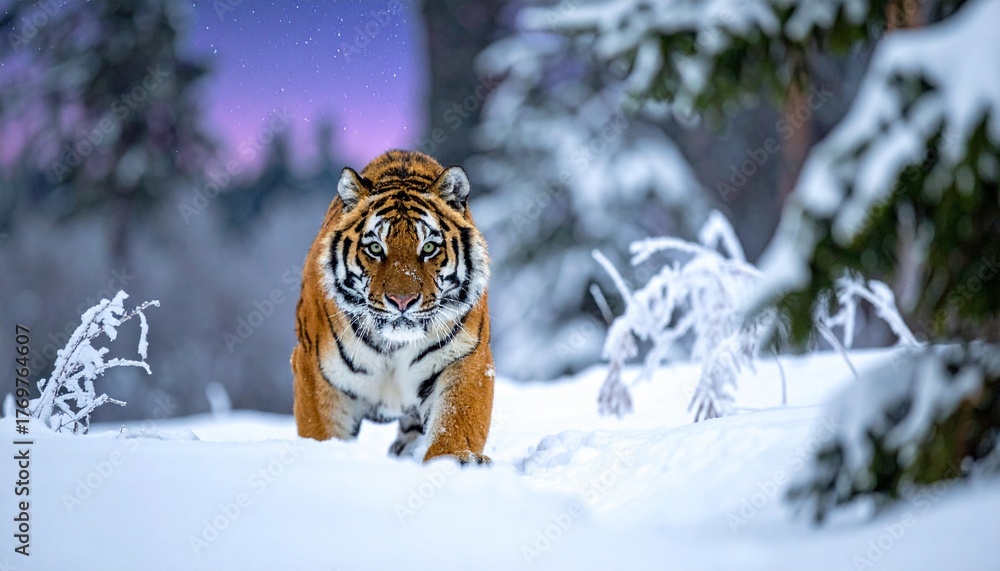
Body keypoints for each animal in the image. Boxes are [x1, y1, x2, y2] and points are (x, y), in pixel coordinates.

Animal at [291, 149, 494, 464]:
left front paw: (456, 461)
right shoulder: (317, 372)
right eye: (375, 248)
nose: (402, 300)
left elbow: (457, 421)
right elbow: (320, 432)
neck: (393, 346)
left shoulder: (465, 358)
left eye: (428, 248)